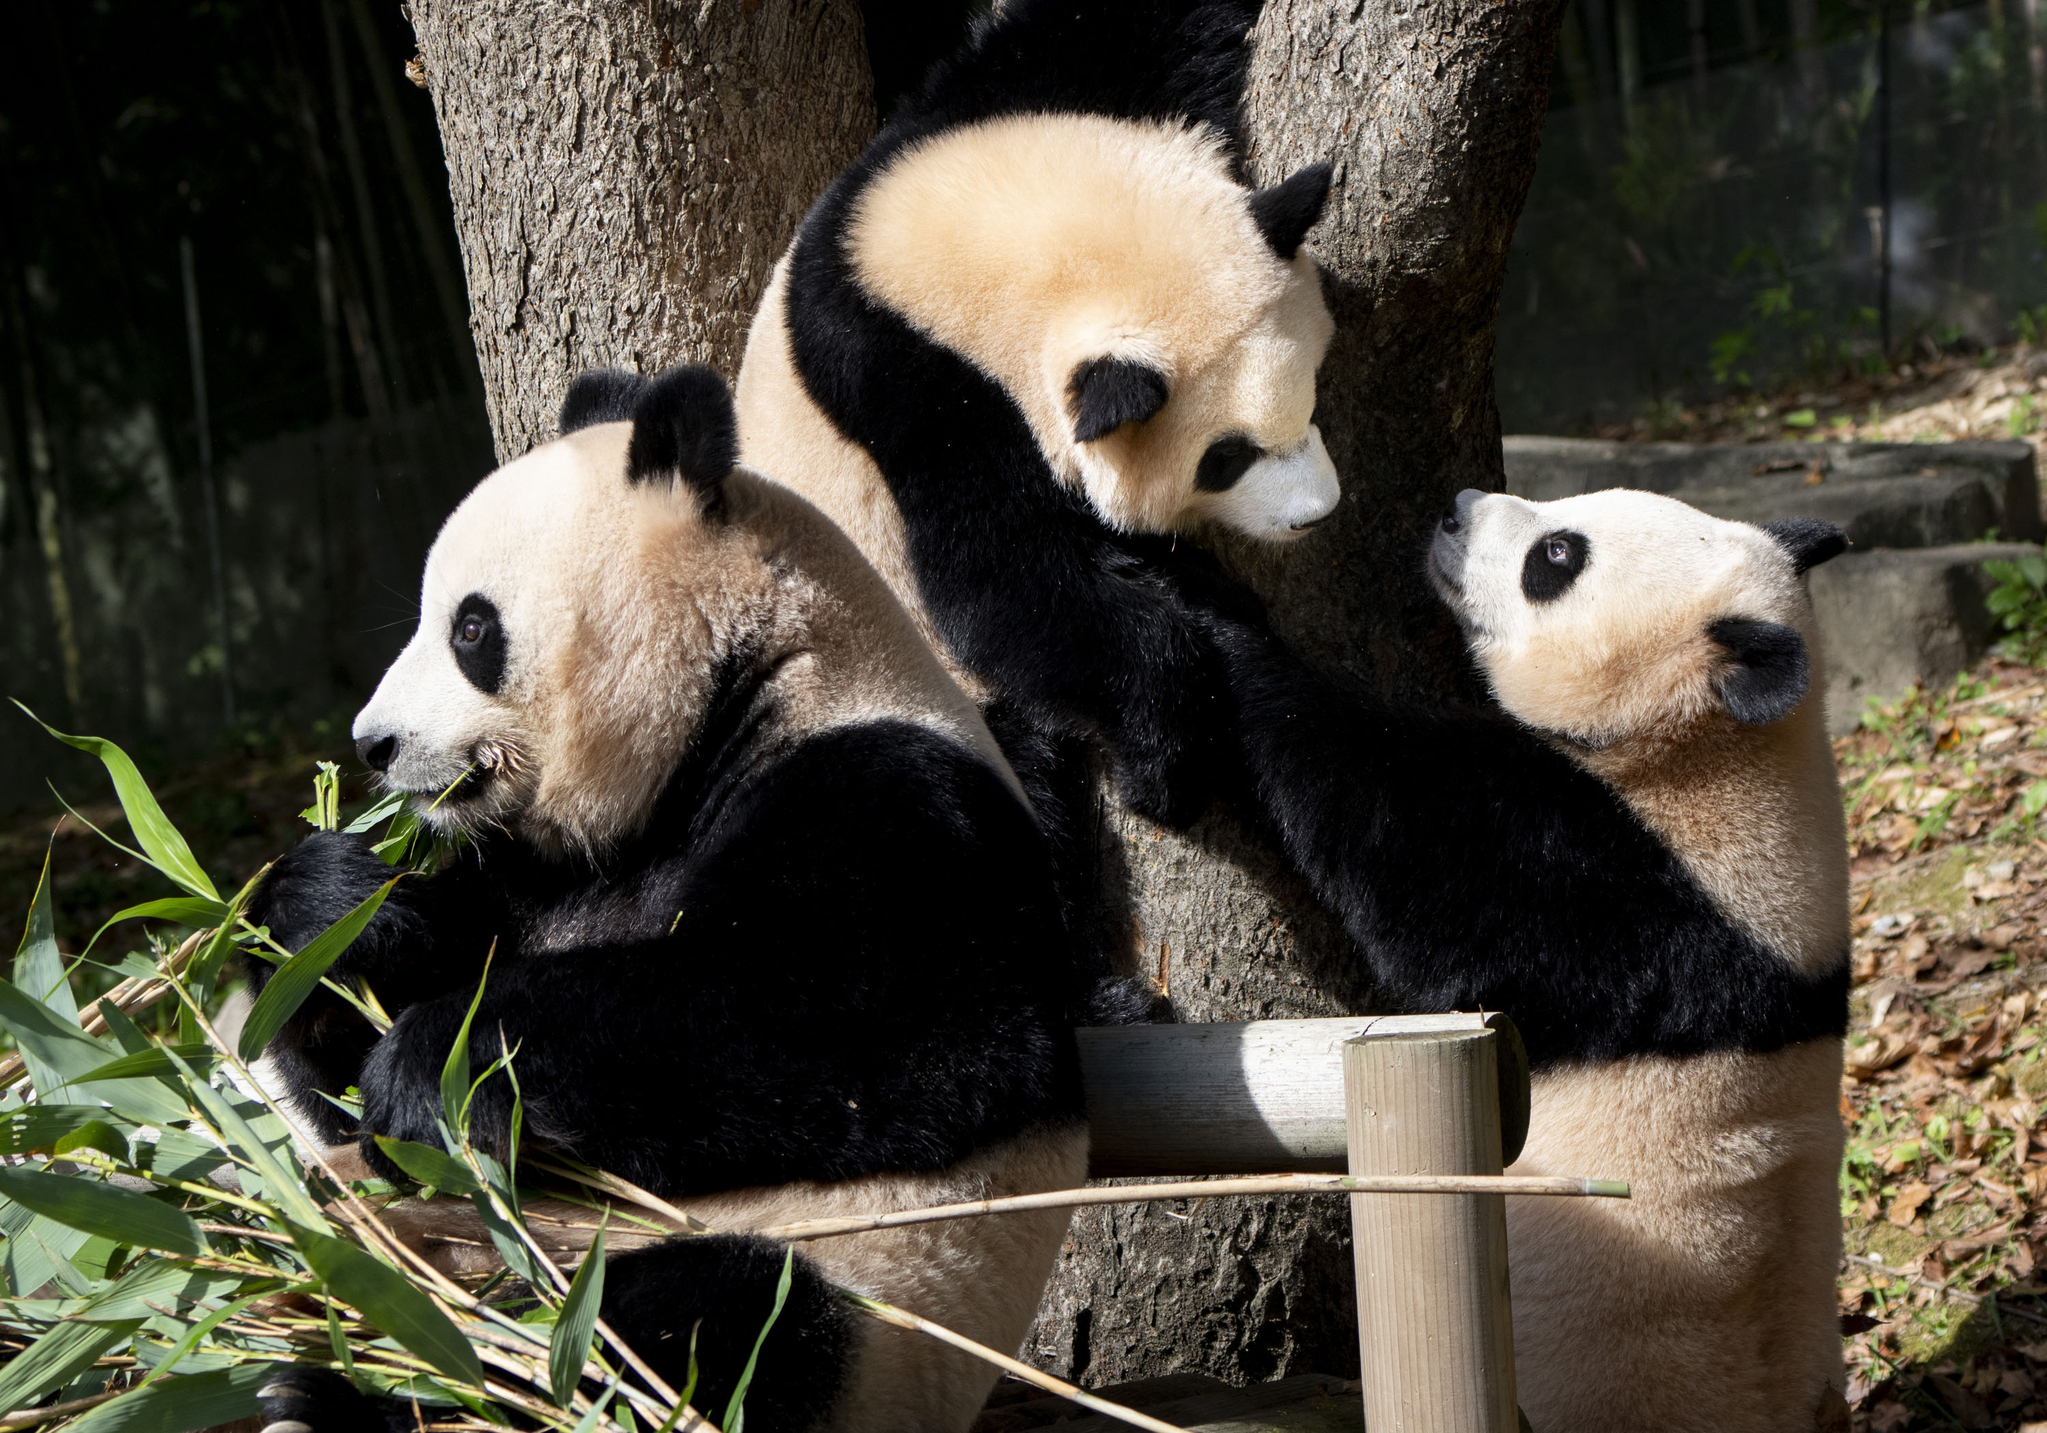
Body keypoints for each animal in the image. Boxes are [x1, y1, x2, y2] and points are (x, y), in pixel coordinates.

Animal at [247, 360, 1097, 1432]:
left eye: (471, 628)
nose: (374, 743)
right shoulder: (539, 872)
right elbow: (347, 1073)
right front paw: (335, 908)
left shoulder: (896, 790)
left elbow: (905, 1027)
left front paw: (438, 1062)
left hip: (856, 1295)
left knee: (686, 1324)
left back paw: (359, 1393)